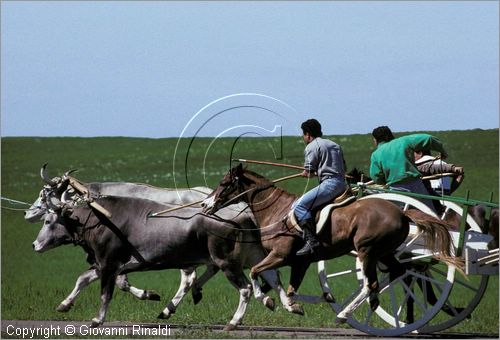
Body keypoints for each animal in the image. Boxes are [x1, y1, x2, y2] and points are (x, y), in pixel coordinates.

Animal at [201, 164, 462, 322]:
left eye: (224, 183)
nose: (205, 204)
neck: (277, 212)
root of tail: (402, 213)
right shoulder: (300, 262)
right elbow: (288, 287)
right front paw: (295, 305)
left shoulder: (279, 256)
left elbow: (256, 273)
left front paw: (268, 301)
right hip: (385, 254)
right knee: (397, 272)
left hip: (367, 252)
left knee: (371, 284)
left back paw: (346, 313)